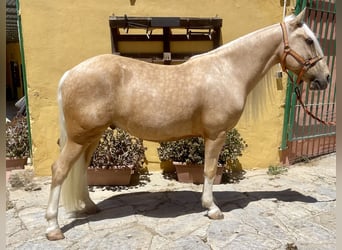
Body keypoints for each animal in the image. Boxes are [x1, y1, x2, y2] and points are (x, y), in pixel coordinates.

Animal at [46, 9, 332, 240]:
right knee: (60, 170)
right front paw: (212, 209)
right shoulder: (216, 134)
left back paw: (89, 206)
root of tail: (70, 74)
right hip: (79, 138)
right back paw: (53, 228)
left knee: (81, 169)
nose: (326, 78)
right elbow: (209, 170)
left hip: (91, 137)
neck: (227, 70)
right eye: (309, 40)